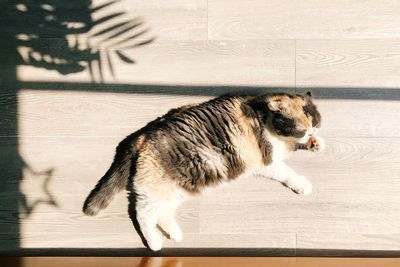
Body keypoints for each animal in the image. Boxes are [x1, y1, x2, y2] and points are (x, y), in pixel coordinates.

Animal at [82, 92, 324, 251]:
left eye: (314, 121)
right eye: (300, 128)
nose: (311, 132)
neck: (263, 117)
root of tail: (143, 136)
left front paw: (317, 144)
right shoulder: (268, 161)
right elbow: (287, 172)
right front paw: (302, 184)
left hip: (176, 188)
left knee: (163, 213)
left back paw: (175, 235)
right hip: (156, 188)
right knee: (143, 214)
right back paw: (155, 244)